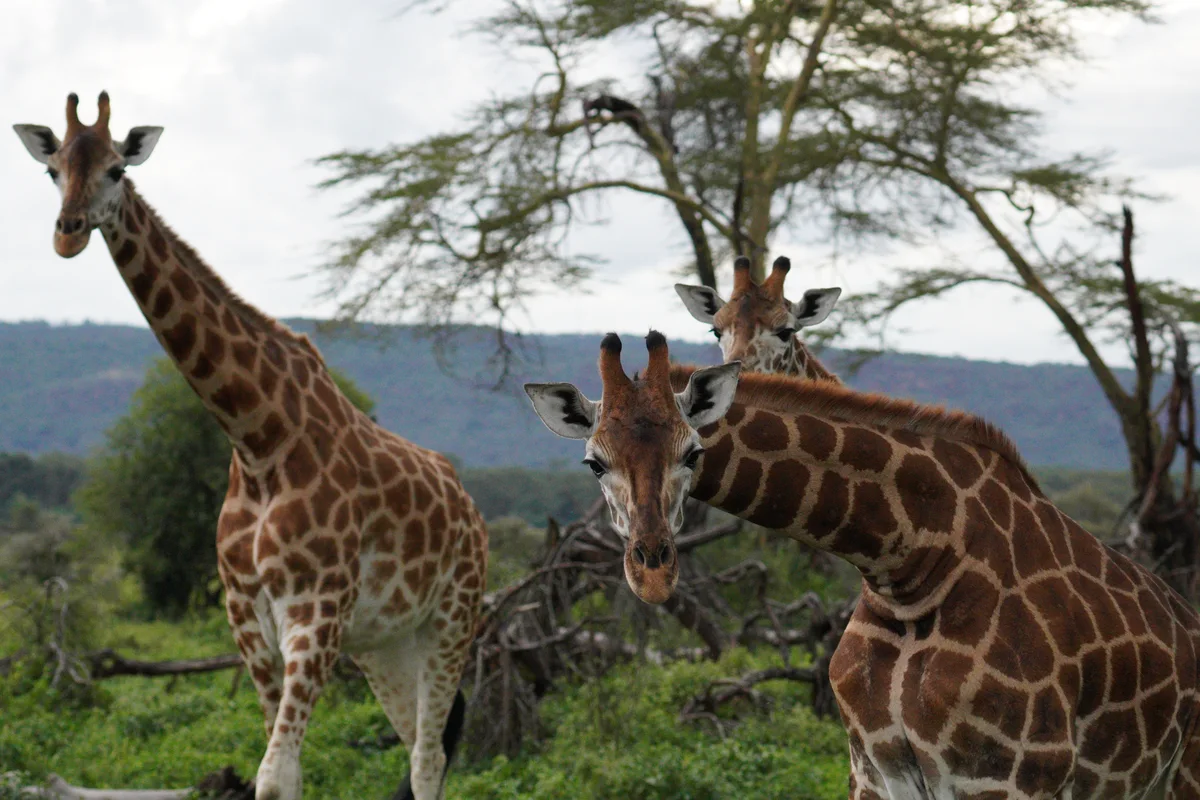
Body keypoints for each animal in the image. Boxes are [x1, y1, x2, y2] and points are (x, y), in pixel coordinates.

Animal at [14, 93, 487, 800]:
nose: (67, 232)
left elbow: (272, 773)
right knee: (416, 746)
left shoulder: (316, 613)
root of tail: (471, 508)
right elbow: (284, 773)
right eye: (53, 170)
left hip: (452, 617)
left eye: (117, 170)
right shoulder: (247, 619)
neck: (258, 437)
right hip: (385, 642)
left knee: (430, 756)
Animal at [526, 331, 1200, 799]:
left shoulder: (1010, 778)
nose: (653, 570)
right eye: (593, 462)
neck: (910, 569)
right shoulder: (876, 771)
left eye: (693, 452)